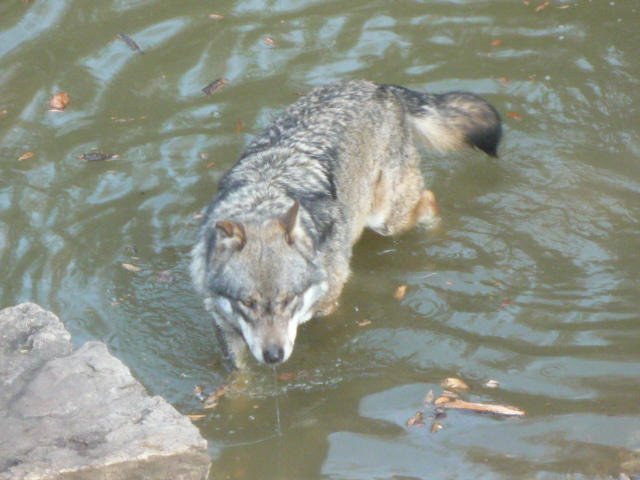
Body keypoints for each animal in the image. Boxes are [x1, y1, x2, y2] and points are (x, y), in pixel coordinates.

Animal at [191, 79, 501, 368]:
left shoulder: (328, 301)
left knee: (429, 199)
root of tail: (380, 87)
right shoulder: (223, 325)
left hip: (386, 219)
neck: (263, 199)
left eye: (289, 299)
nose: (273, 356)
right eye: (247, 303)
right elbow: (239, 376)